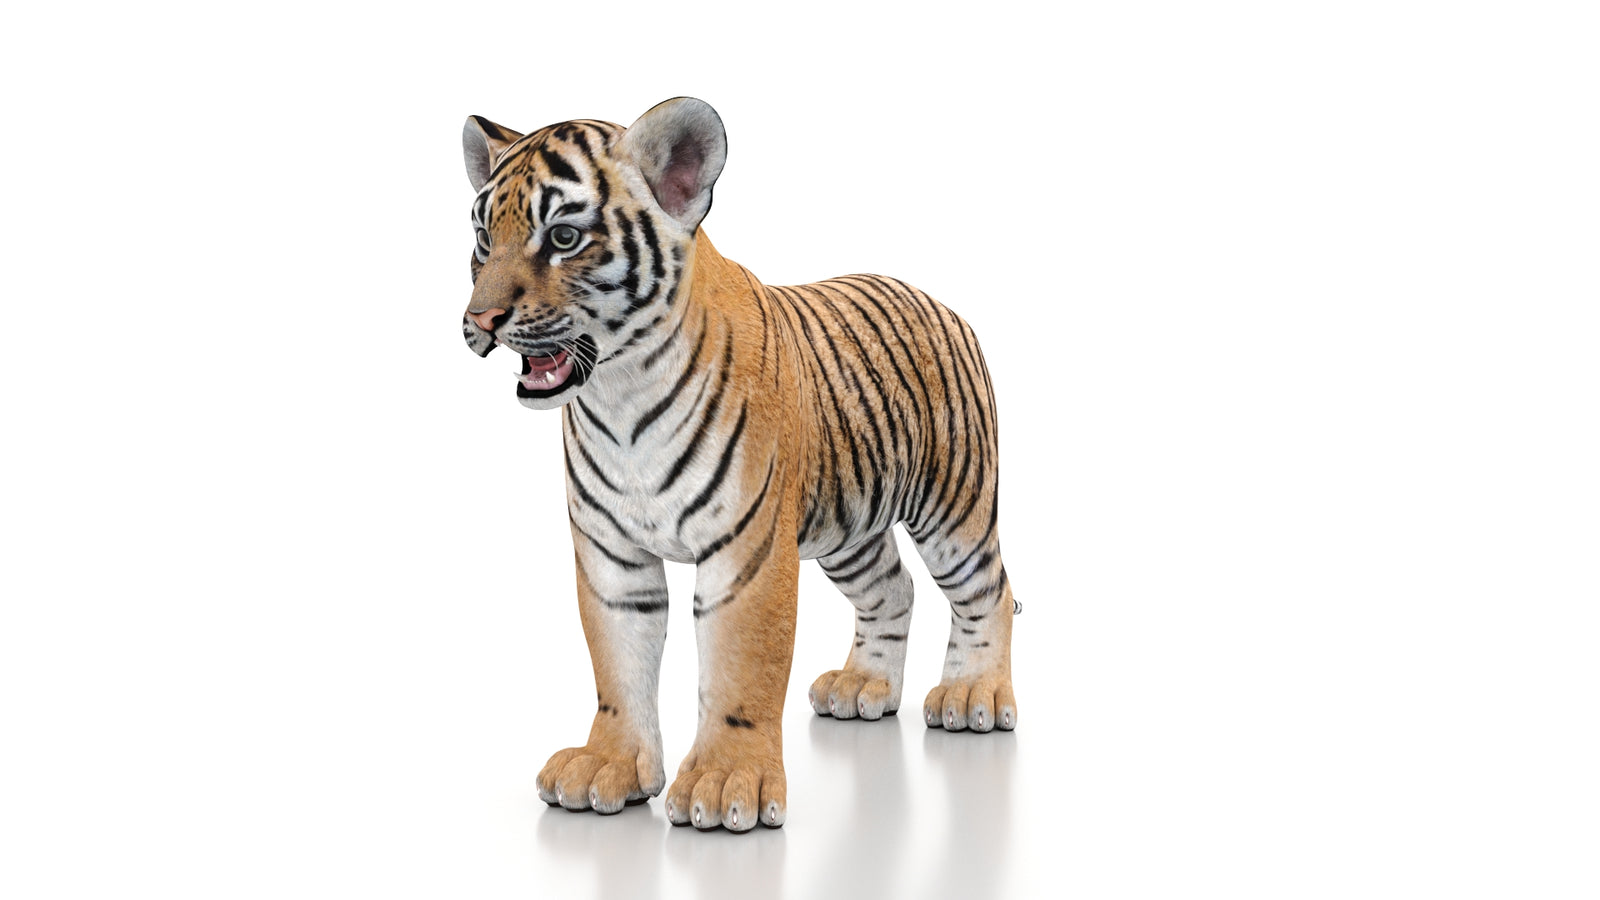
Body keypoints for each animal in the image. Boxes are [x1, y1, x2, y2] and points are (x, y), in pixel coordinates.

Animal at [459, 97, 1019, 832]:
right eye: (481, 238)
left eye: (563, 237)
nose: (480, 320)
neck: (618, 393)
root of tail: (934, 298)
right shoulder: (611, 556)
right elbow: (617, 664)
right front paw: (608, 765)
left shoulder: (746, 550)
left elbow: (741, 667)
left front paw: (729, 785)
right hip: (848, 527)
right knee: (892, 588)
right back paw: (863, 685)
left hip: (954, 506)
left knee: (990, 592)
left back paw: (973, 695)